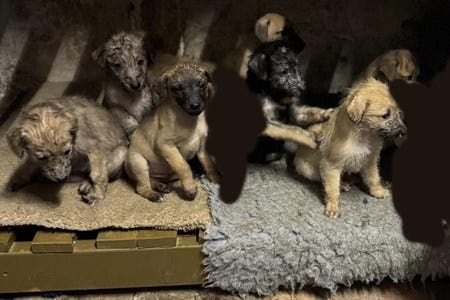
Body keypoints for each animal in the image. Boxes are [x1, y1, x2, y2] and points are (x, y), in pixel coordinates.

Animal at [125, 61, 219, 202]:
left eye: (201, 85)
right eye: (177, 88)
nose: (195, 105)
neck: (190, 121)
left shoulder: (202, 148)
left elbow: (208, 163)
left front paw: (216, 178)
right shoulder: (166, 145)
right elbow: (183, 166)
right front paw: (190, 188)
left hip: (168, 173)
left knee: (152, 179)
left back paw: (161, 185)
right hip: (139, 162)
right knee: (141, 187)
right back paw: (153, 194)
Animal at [296, 78, 408, 217]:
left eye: (398, 113)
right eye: (385, 115)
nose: (404, 131)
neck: (364, 135)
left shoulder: (370, 161)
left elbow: (374, 178)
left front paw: (378, 191)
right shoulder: (331, 165)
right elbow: (332, 188)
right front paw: (333, 206)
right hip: (306, 169)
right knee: (322, 179)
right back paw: (342, 184)